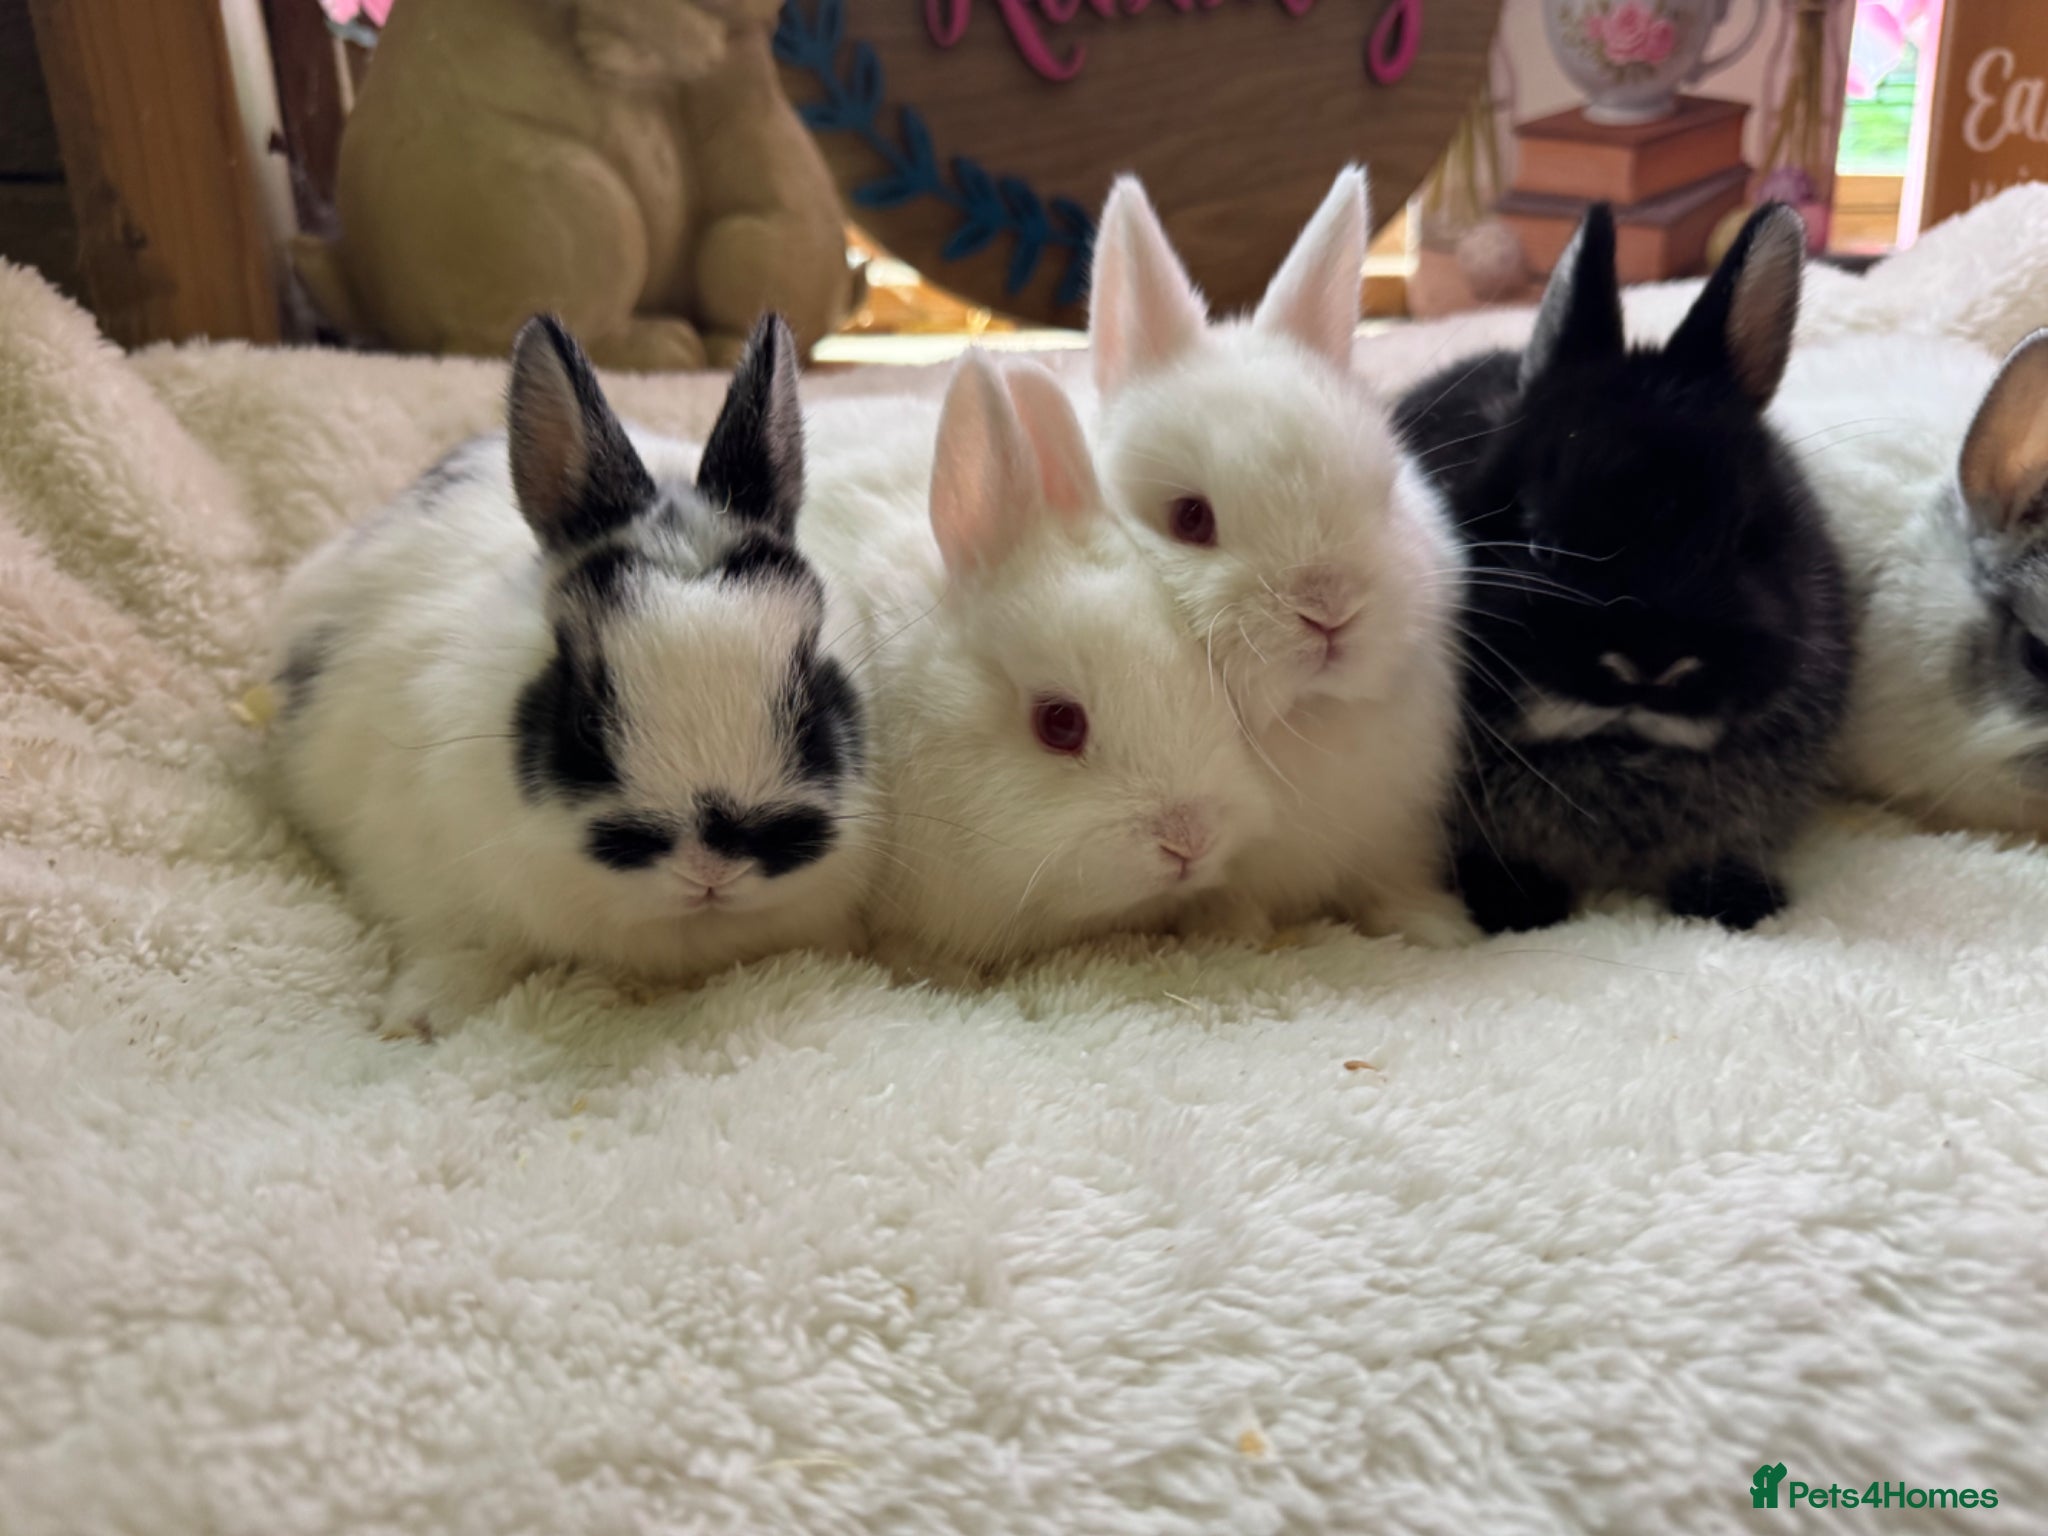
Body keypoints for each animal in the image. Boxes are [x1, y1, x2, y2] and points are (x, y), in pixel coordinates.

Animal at [1084, 167, 1472, 946]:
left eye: (1383, 493)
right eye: (1190, 519)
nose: (1329, 610)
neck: (1304, 718)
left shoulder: (1395, 832)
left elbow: (1390, 882)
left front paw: (1435, 927)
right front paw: (1237, 935)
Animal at [1392, 202, 1854, 933]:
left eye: (1746, 538)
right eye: (1541, 542)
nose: (1652, 663)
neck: (1621, 750)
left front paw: (1740, 905)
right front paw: (1519, 907)